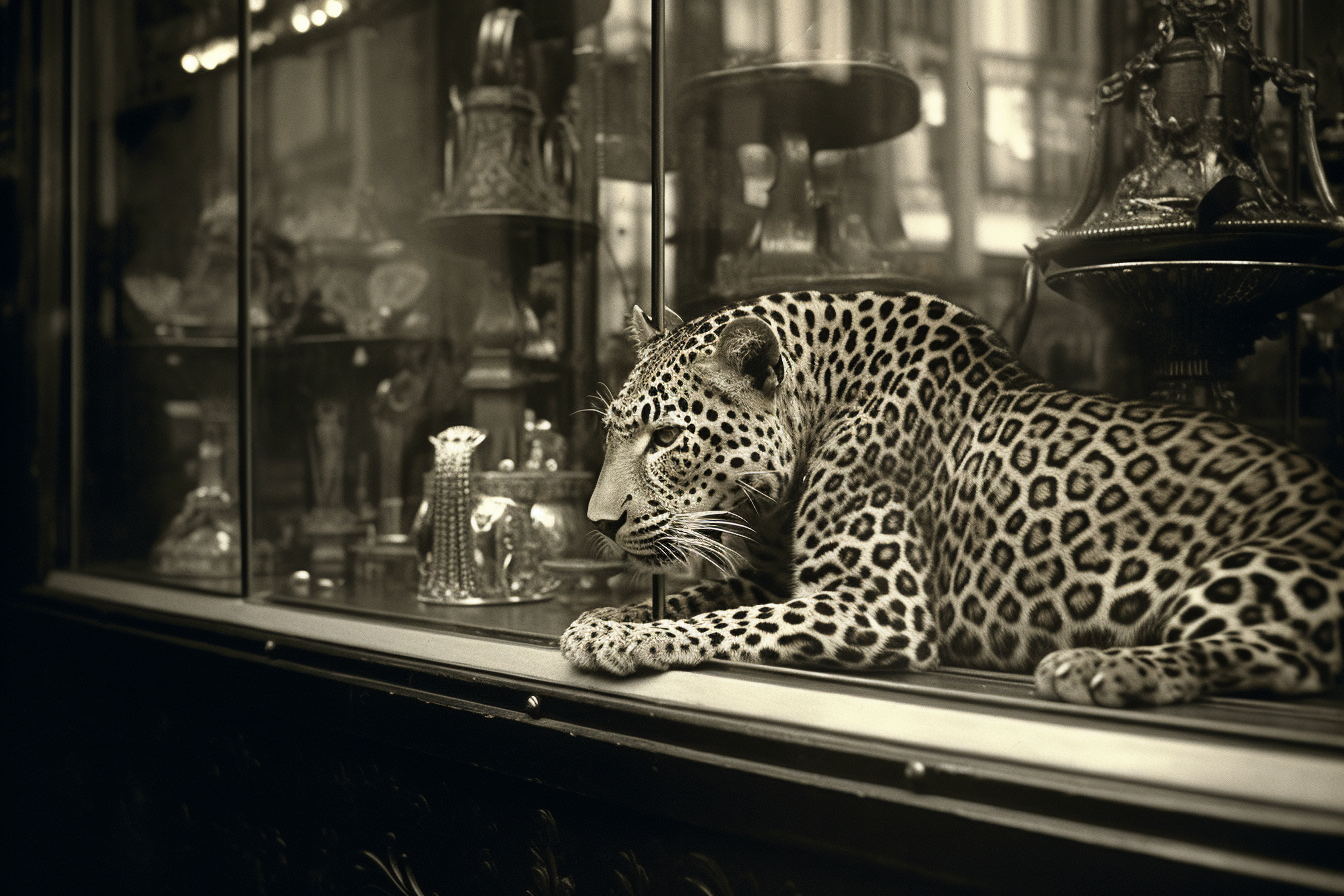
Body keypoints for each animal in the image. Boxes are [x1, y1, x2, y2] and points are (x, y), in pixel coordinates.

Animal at [559, 291, 1344, 703]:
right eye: (614, 431)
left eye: (665, 437)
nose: (598, 523)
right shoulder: (772, 577)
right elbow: (697, 598)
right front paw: (603, 616)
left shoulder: (881, 604)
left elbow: (727, 622)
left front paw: (621, 638)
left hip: (1245, 569)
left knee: (1276, 657)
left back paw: (1096, 668)